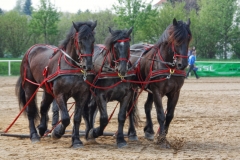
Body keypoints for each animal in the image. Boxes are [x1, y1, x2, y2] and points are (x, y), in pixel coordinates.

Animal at [15, 20, 96, 148]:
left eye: (93, 40)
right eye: (79, 41)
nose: (87, 65)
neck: (70, 67)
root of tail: (31, 50)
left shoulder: (82, 95)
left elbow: (77, 118)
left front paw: (76, 140)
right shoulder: (59, 94)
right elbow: (66, 118)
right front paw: (57, 133)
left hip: (48, 90)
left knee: (43, 107)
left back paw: (42, 128)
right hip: (29, 87)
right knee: (31, 110)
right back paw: (34, 135)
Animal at [129, 18, 191, 148]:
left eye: (188, 38)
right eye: (176, 39)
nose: (182, 64)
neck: (169, 66)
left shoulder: (175, 93)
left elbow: (169, 115)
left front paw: (162, 134)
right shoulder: (157, 91)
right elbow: (161, 115)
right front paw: (162, 139)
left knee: (147, 107)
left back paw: (149, 131)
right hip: (132, 88)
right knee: (130, 108)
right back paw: (132, 133)